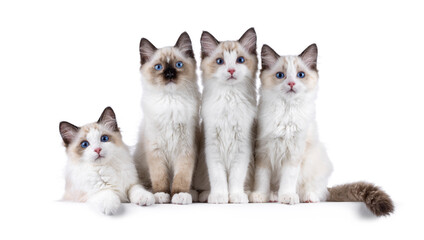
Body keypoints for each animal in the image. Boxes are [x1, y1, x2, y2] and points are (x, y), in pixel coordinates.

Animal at [134, 31, 200, 204]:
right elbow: (160, 178)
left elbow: (181, 178)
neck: (171, 102)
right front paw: (162, 195)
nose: (169, 74)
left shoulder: (185, 150)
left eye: (178, 65)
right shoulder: (156, 150)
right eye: (159, 67)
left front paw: (179, 195)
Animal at [193, 28, 258, 204]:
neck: (230, 97)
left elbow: (236, 178)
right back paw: (205, 195)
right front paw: (219, 197)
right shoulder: (212, 147)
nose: (231, 71)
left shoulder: (242, 147)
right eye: (220, 61)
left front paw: (236, 196)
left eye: (240, 60)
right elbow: (218, 178)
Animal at [248, 44, 394, 217]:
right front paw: (259, 195)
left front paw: (287, 196)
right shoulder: (263, 151)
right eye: (280, 75)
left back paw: (307, 197)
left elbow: (288, 178)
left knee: (319, 192)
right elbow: (262, 178)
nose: (291, 84)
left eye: (300, 75)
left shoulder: (294, 153)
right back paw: (272, 196)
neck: (287, 112)